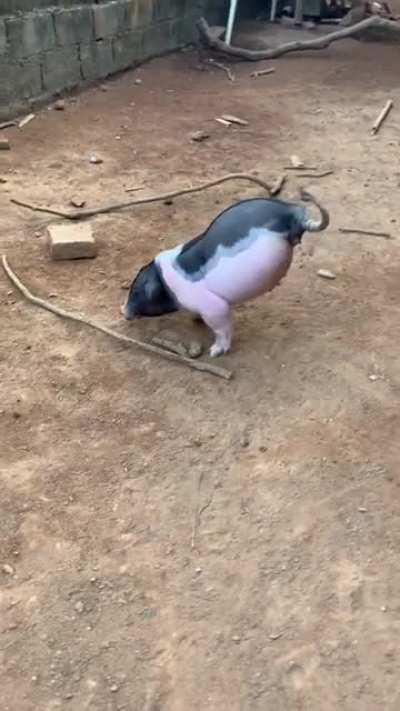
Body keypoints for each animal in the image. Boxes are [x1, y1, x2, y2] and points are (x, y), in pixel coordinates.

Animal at [122, 189, 329, 357]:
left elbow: (223, 328)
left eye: (137, 291)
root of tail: (292, 214)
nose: (123, 310)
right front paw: (195, 320)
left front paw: (215, 352)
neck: (167, 283)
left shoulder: (215, 307)